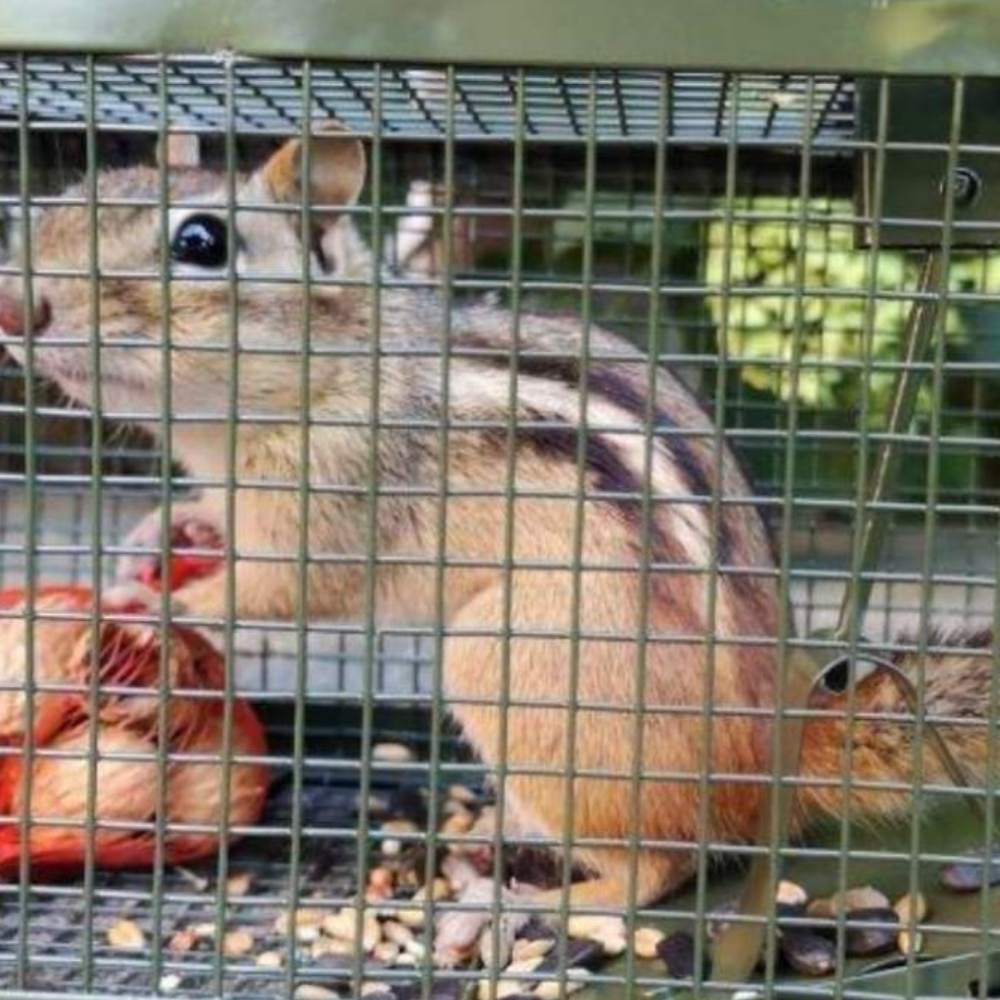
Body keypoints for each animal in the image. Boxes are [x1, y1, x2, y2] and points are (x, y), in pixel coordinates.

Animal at [0, 123, 994, 953]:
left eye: (200, 243)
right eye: (75, 193)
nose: (16, 311)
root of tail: (770, 760)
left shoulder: (336, 506)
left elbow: (278, 593)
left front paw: (141, 604)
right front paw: (155, 534)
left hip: (513, 668)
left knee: (663, 865)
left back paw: (533, 903)